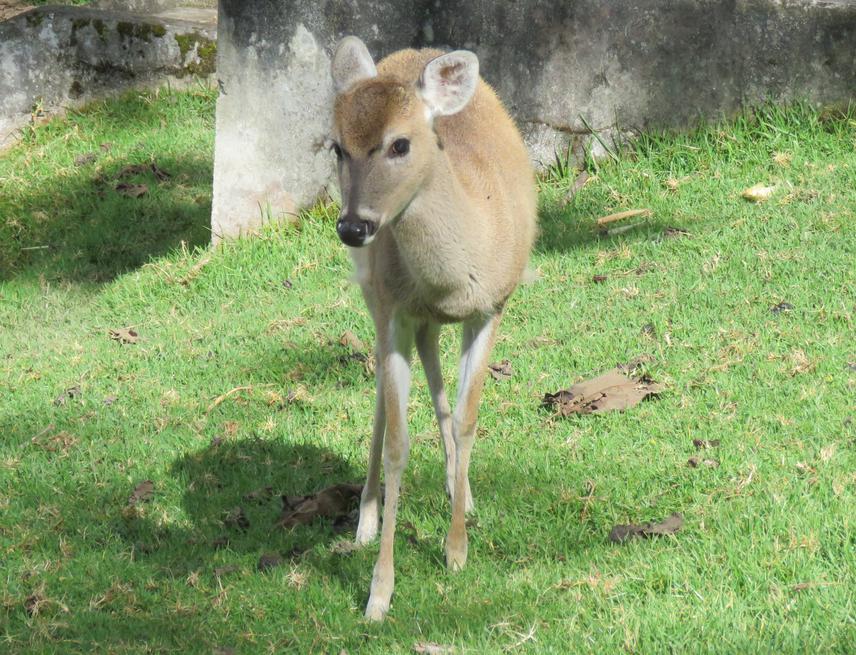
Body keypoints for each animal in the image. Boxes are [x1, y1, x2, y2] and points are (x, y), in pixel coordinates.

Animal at [328, 36, 536, 620]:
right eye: (336, 147)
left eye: (400, 144)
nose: (354, 226)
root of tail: (411, 50)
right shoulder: (396, 308)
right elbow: (398, 441)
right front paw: (379, 592)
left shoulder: (493, 305)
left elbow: (467, 420)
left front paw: (457, 550)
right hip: (375, 295)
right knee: (385, 386)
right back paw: (366, 519)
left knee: (433, 361)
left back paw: (459, 490)